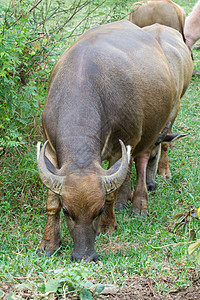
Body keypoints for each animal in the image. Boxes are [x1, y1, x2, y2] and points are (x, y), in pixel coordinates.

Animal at [37, 19, 192, 262]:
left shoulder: (123, 142)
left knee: (142, 160)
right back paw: (125, 199)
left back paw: (139, 202)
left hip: (151, 129)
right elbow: (51, 201)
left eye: (99, 211)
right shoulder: (51, 150)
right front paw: (49, 243)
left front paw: (108, 225)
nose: (84, 256)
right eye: (67, 211)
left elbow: (112, 190)